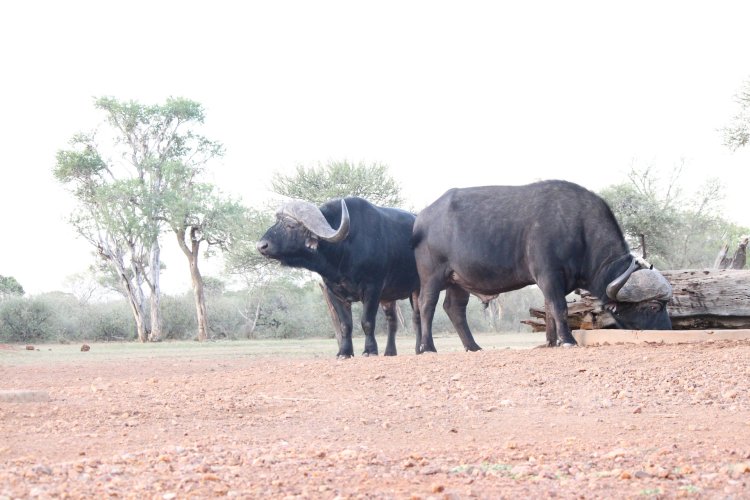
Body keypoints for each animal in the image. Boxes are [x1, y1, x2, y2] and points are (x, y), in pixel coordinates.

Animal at [256, 197, 421, 358]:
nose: (261, 246)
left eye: (290, 225)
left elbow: (367, 322)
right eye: (277, 222)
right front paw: (344, 352)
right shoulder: (334, 293)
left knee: (417, 317)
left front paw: (370, 350)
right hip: (388, 297)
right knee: (392, 321)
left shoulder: (372, 288)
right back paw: (390, 352)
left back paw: (421, 348)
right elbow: (345, 325)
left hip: (417, 290)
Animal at [411, 180, 673, 352]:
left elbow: (549, 309)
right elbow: (559, 307)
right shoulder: (548, 275)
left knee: (454, 309)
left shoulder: (552, 281)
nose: (667, 329)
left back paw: (473, 346)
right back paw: (427, 347)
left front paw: (551, 341)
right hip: (432, 276)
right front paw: (567, 340)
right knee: (426, 305)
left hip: (458, 281)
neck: (579, 228)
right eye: (653, 307)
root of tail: (421, 218)